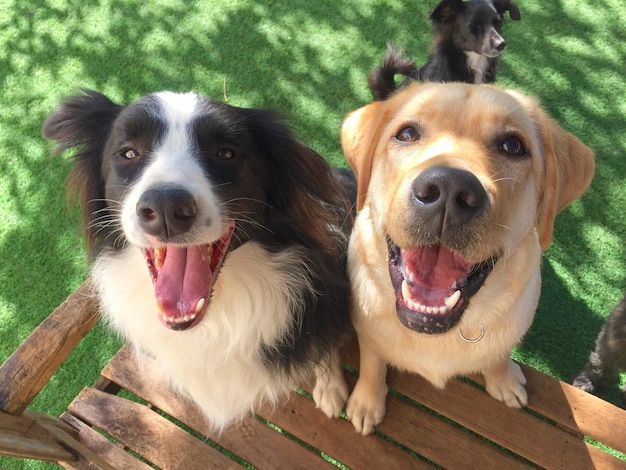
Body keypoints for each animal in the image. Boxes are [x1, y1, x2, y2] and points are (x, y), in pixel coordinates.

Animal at [42, 90, 356, 432]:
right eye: (128, 153)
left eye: (226, 153)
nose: (166, 207)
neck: (218, 316)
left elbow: (326, 346)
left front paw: (331, 390)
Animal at [344, 80, 592, 434]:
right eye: (407, 134)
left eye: (513, 146)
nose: (448, 189)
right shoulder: (367, 333)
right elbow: (373, 362)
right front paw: (367, 400)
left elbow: (498, 355)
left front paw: (503, 380)